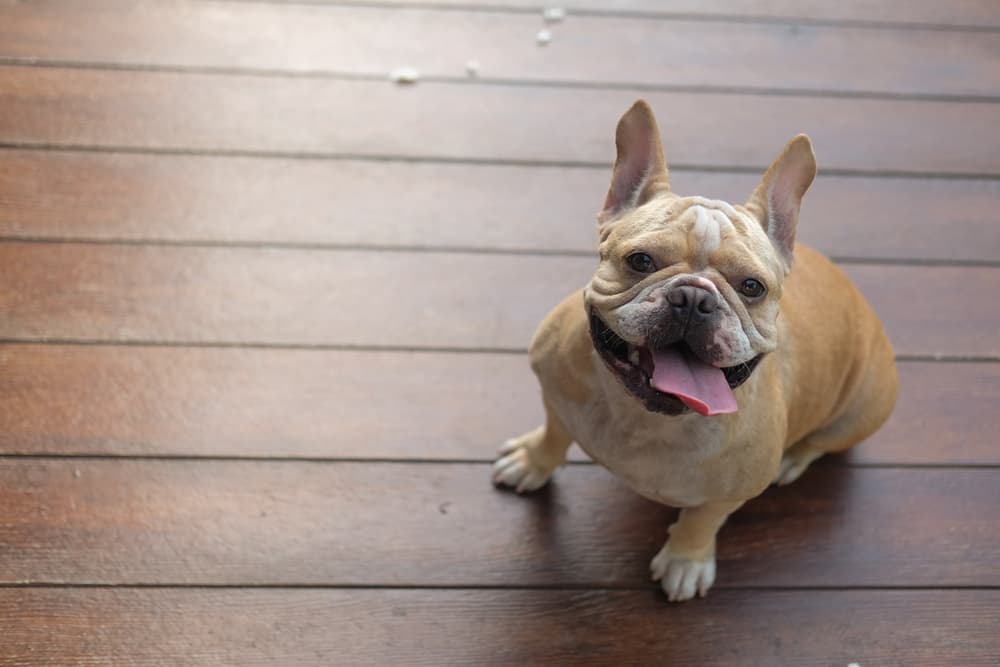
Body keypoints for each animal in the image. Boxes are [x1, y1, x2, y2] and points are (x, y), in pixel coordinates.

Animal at [492, 100, 900, 604]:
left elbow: (702, 519)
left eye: (752, 287)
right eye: (640, 260)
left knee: (821, 443)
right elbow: (554, 433)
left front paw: (685, 561)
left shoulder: (731, 493)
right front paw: (533, 461)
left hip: (862, 410)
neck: (643, 416)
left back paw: (793, 457)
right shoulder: (555, 395)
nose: (694, 297)